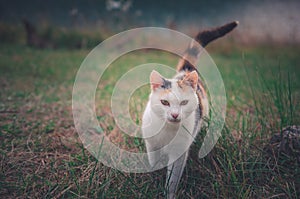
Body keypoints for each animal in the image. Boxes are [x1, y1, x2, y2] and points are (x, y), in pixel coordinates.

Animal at [142, 21, 238, 198]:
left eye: (184, 102)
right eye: (164, 102)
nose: (174, 114)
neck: (168, 130)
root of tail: (185, 71)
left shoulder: (178, 154)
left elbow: (173, 178)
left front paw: (169, 194)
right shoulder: (152, 145)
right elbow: (153, 162)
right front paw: (153, 176)